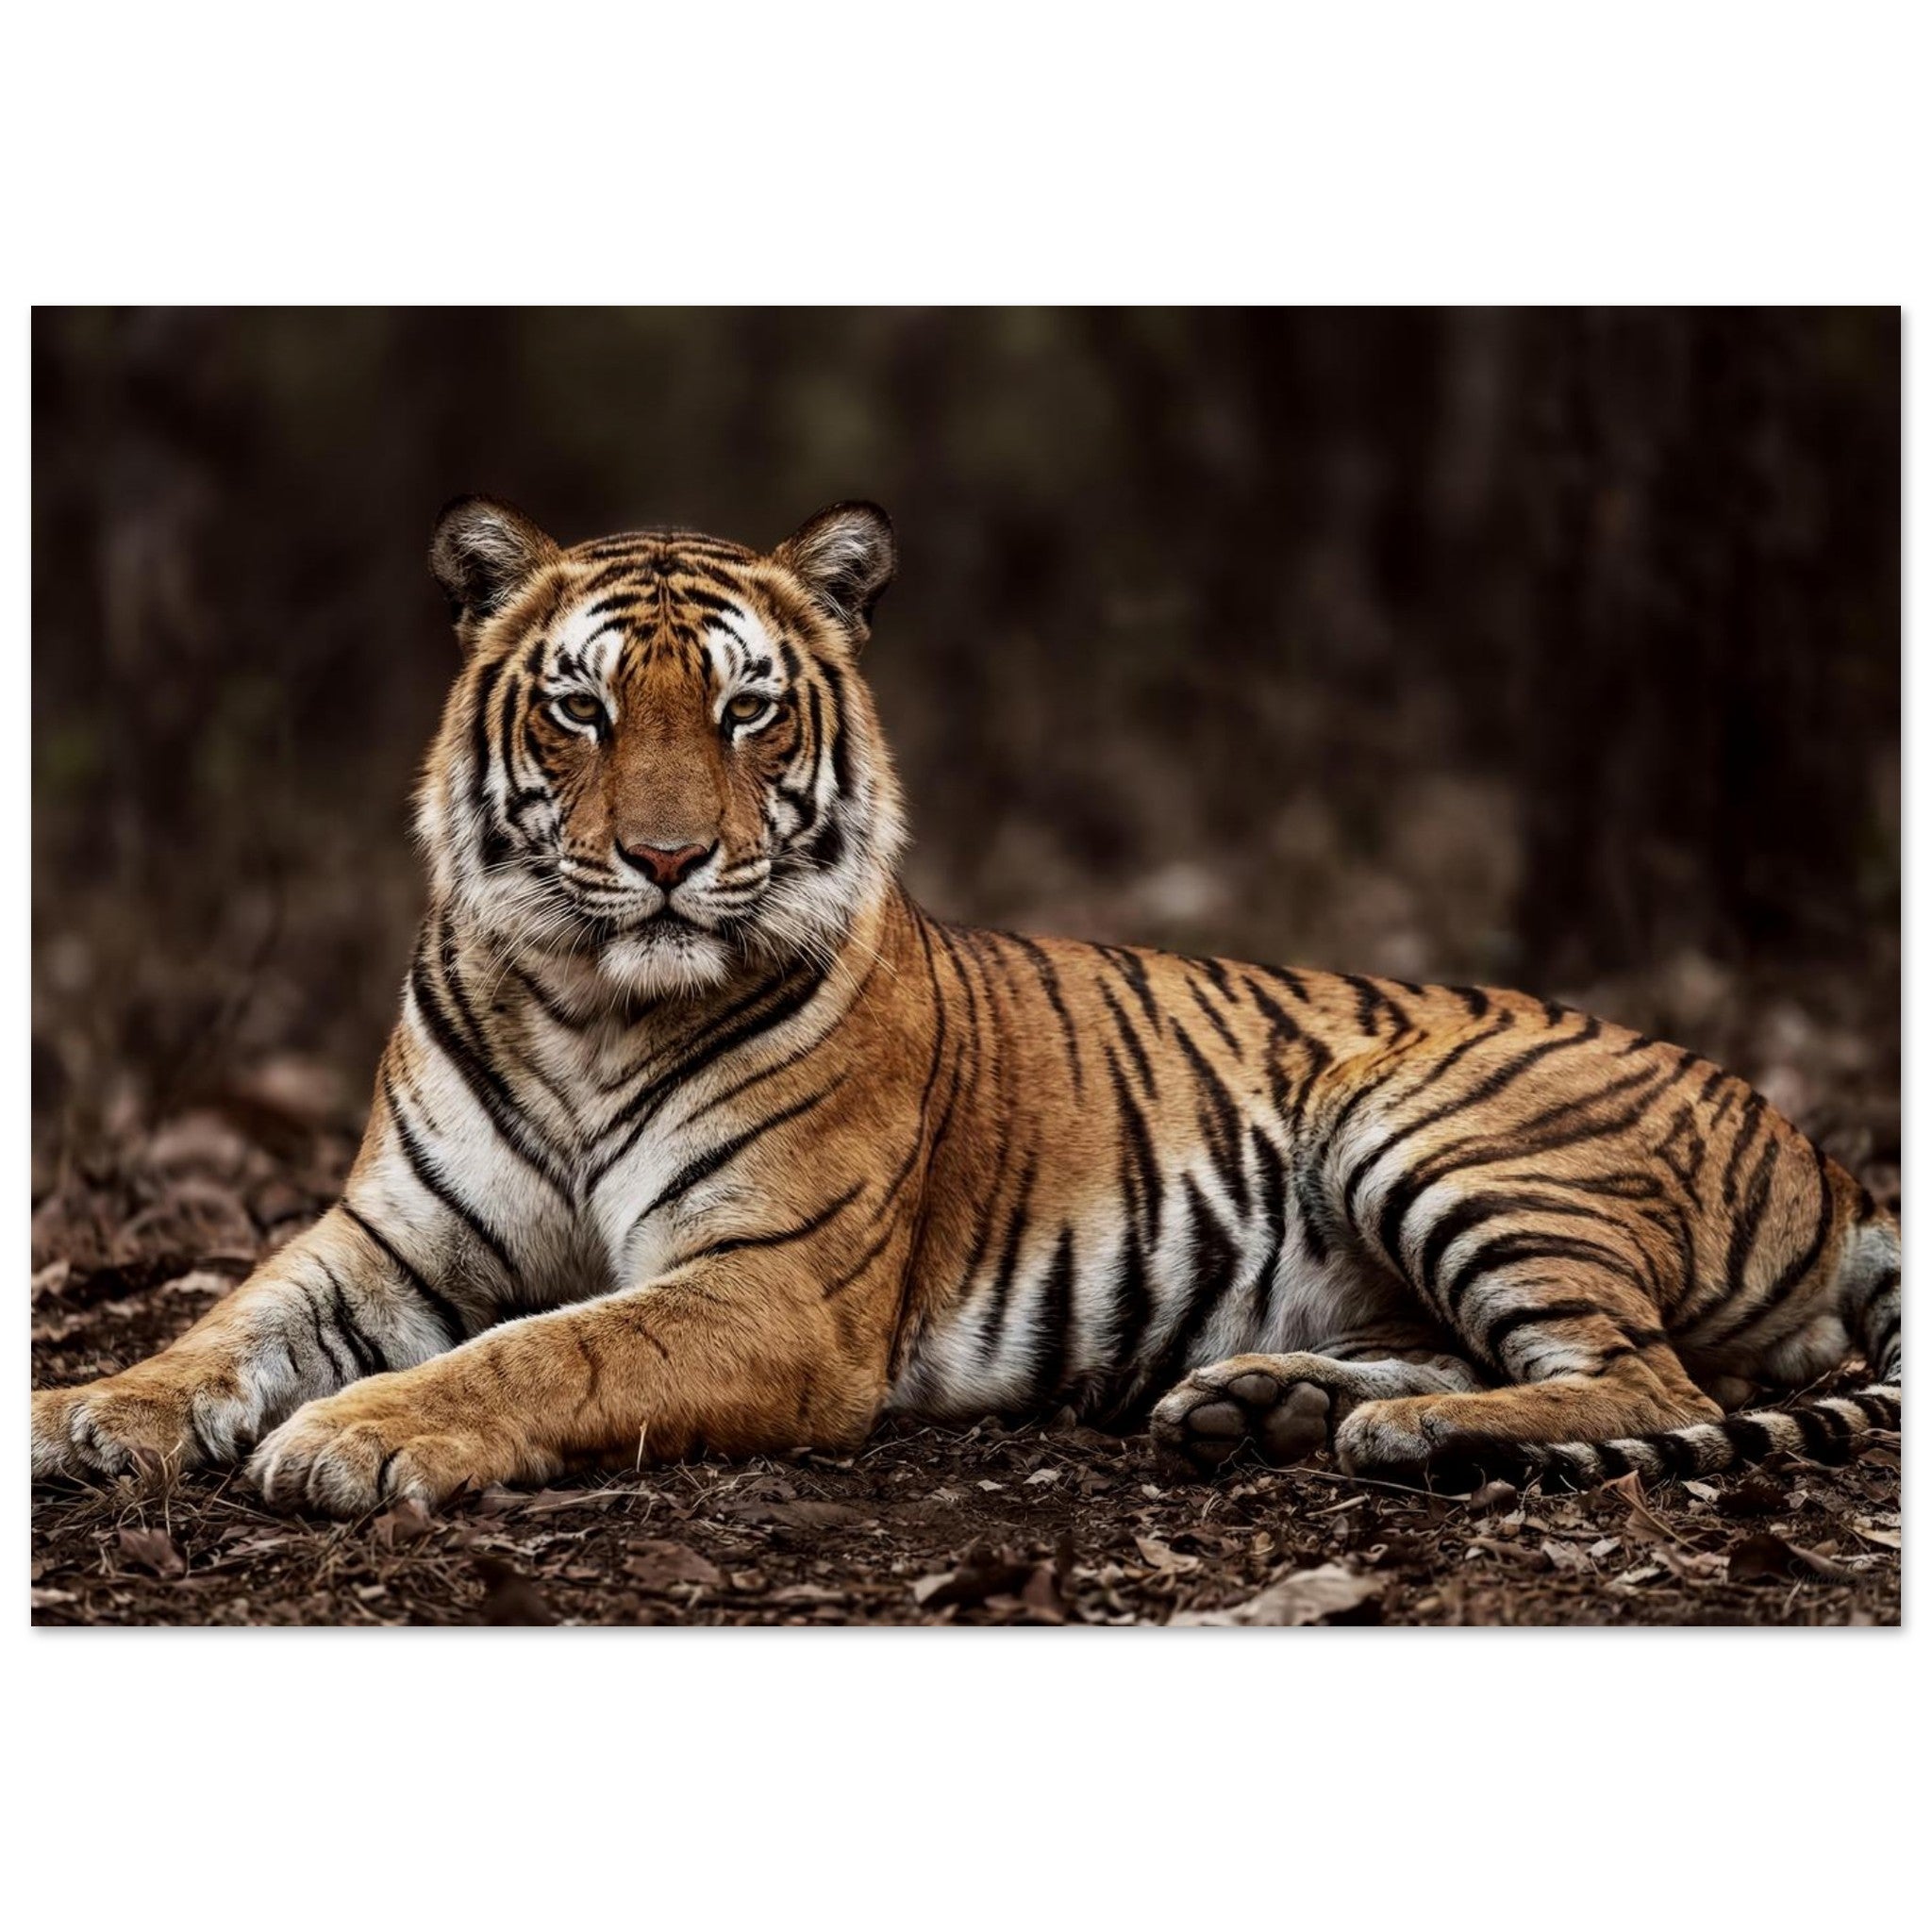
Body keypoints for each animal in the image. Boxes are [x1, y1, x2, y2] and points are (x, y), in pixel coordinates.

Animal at [31, 498, 1901, 1517]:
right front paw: (81, 1412)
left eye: (744, 712)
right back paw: (1269, 1404)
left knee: (1648, 1385)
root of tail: (1825, 1149)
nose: (661, 860)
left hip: (1432, 1117)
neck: (583, 1003)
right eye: (580, 710)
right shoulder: (389, 1236)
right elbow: (228, 1323)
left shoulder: (765, 1286)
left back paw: (1404, 1428)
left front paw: (356, 1435)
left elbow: (547, 1348)